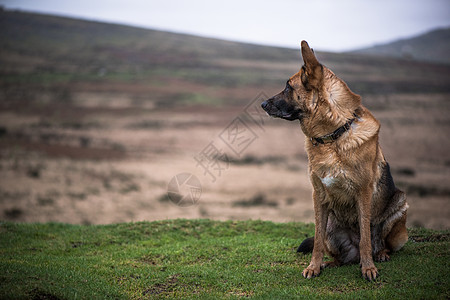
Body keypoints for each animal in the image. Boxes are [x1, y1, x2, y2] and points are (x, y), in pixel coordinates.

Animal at [262, 41, 410, 280]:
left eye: (288, 87)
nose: (263, 104)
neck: (332, 137)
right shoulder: (318, 195)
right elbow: (317, 239)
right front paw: (313, 266)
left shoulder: (363, 192)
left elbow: (366, 238)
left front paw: (368, 269)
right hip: (332, 228)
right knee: (340, 254)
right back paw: (331, 263)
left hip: (399, 204)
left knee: (378, 243)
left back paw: (379, 255)